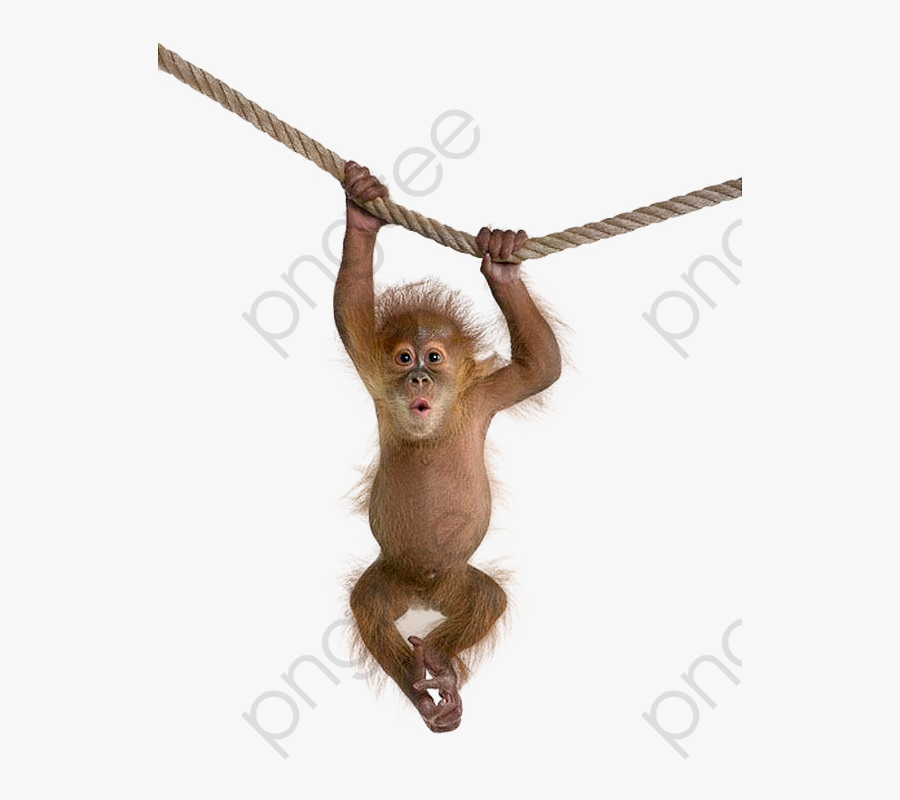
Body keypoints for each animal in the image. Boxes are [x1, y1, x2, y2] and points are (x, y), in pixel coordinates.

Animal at [335, 161, 561, 732]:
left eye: (434, 357)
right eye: (403, 358)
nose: (418, 378)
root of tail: (425, 593)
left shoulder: (483, 397)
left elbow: (541, 366)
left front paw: (501, 262)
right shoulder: (373, 372)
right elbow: (349, 311)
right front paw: (362, 211)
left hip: (457, 583)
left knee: (487, 600)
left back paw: (438, 663)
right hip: (391, 576)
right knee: (368, 607)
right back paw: (422, 688)